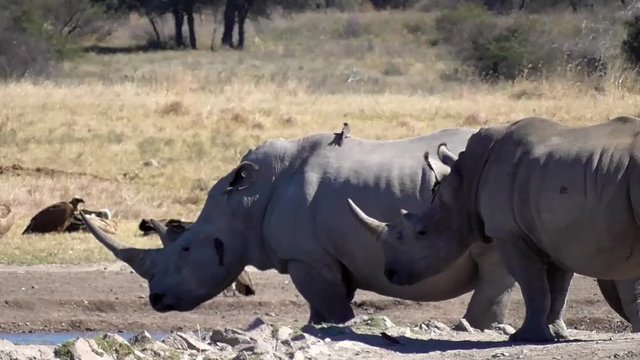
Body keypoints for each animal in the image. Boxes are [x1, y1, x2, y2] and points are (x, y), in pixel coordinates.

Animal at [82, 129, 520, 326]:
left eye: (185, 249)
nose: (156, 299)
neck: (241, 203)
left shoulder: (307, 258)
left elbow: (333, 310)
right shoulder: (326, 259)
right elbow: (321, 311)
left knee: (495, 264)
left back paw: (477, 327)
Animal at [348, 116, 640, 342]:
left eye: (421, 233)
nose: (390, 273)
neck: (465, 184)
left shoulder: (510, 233)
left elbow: (533, 285)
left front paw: (524, 337)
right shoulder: (558, 236)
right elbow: (557, 288)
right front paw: (556, 335)